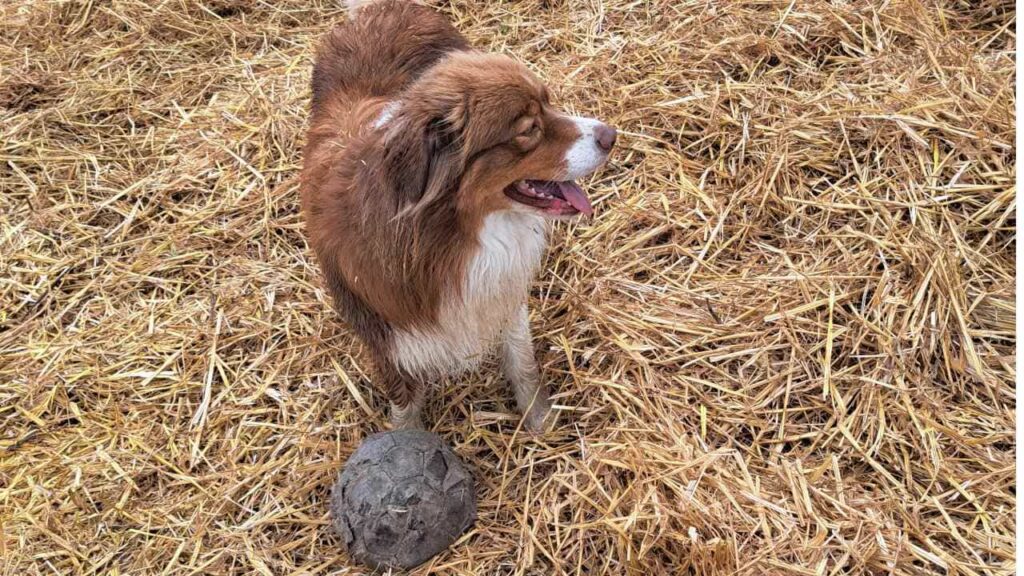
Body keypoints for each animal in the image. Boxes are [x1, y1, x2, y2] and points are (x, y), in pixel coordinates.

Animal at [299, 0, 614, 430]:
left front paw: (540, 422)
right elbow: (404, 406)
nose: (611, 135)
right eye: (528, 129)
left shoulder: (502, 292)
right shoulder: (385, 334)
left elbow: (522, 360)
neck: (453, 235)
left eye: (549, 104)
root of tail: (380, 8)